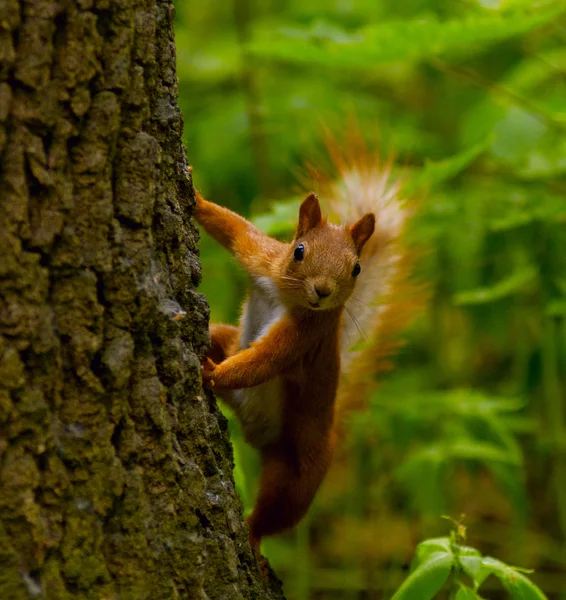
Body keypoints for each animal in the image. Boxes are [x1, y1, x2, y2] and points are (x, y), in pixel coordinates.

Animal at [193, 144, 420, 564]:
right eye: (298, 250)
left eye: (356, 268)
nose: (323, 291)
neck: (287, 296)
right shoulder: (262, 257)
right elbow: (235, 228)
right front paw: (196, 197)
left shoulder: (305, 335)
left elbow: (262, 362)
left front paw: (210, 373)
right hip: (228, 340)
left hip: (298, 472)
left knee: (277, 510)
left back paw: (253, 536)